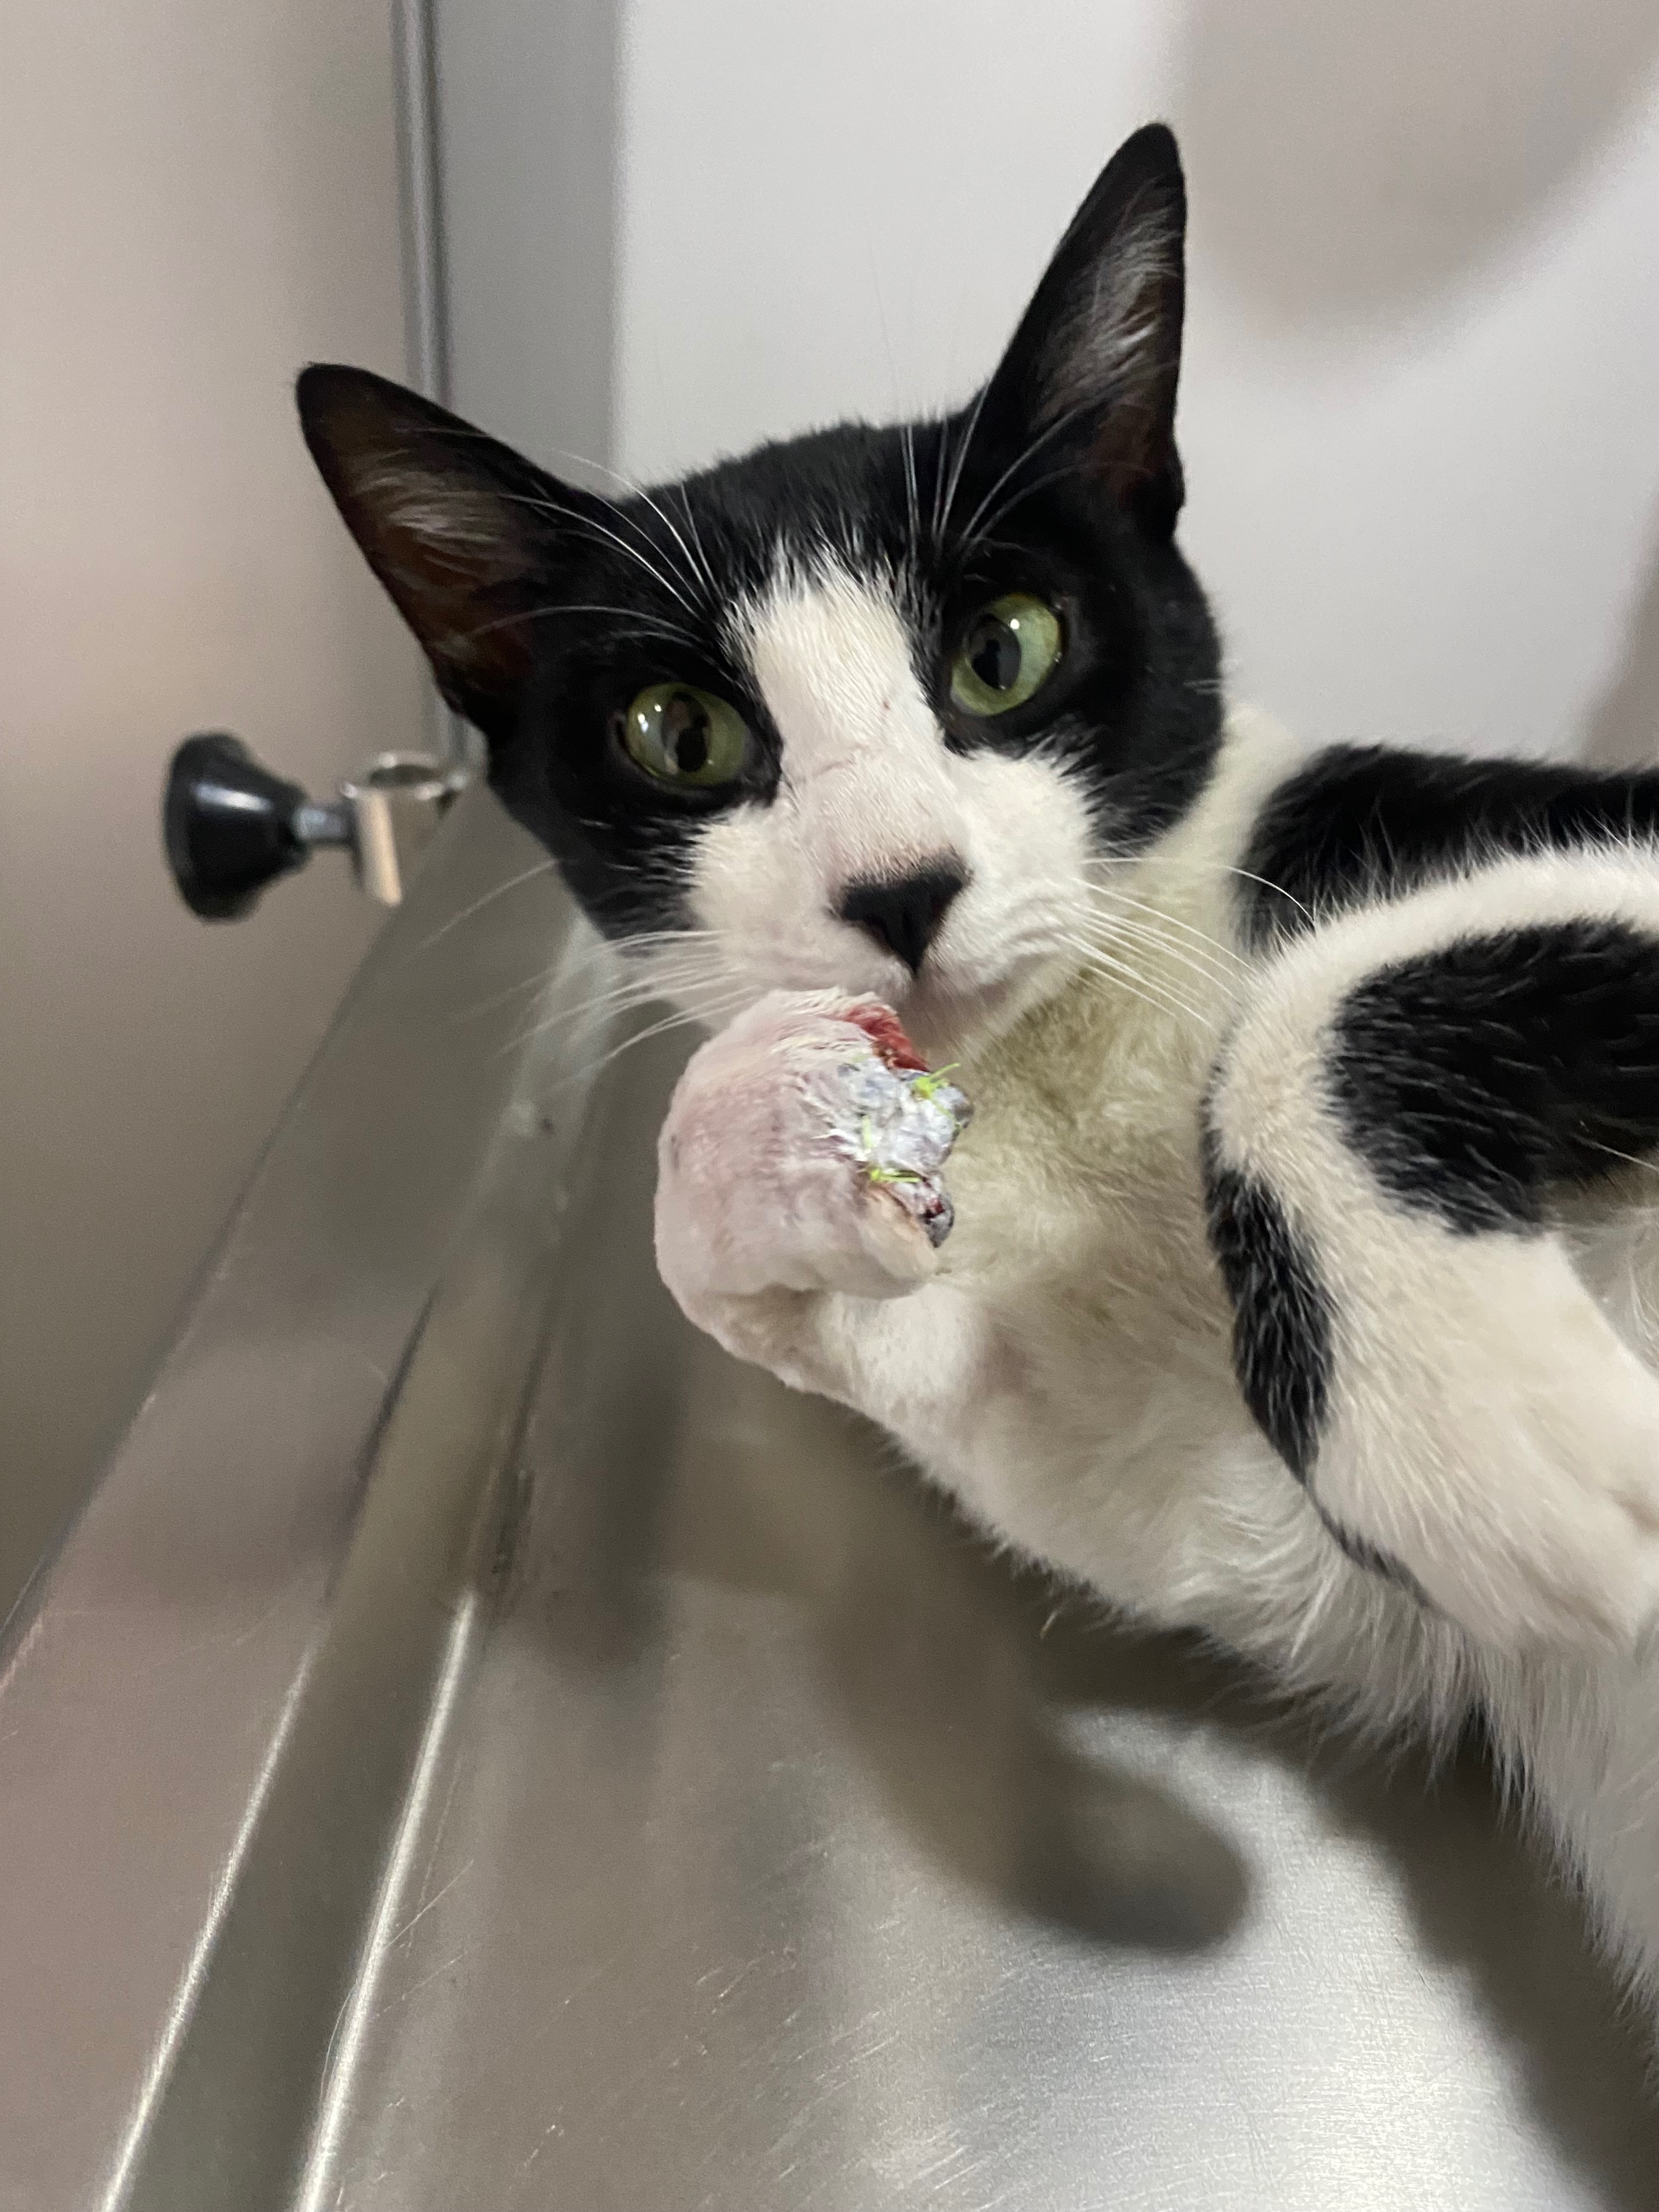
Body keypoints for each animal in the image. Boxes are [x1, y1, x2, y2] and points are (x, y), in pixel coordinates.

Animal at [298, 122, 1659, 2026]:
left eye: (1004, 647)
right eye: (681, 735)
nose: (899, 888)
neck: (1070, 1076)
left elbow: (1308, 1006)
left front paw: (1487, 1426)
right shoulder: (1277, 1540)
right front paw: (768, 1160)